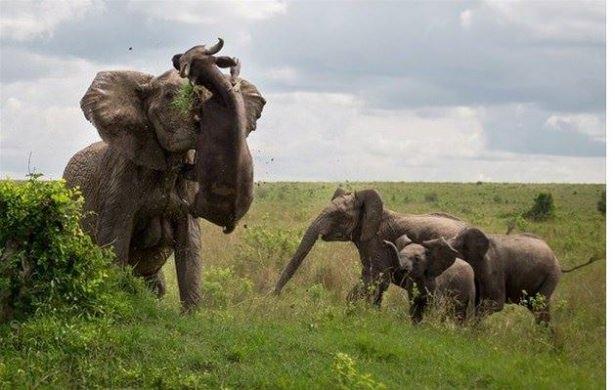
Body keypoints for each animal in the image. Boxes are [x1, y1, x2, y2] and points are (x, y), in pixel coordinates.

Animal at [172, 39, 264, 233]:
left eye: (186, 58)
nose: (174, 57)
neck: (223, 95)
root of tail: (231, 220)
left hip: (198, 202)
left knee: (189, 206)